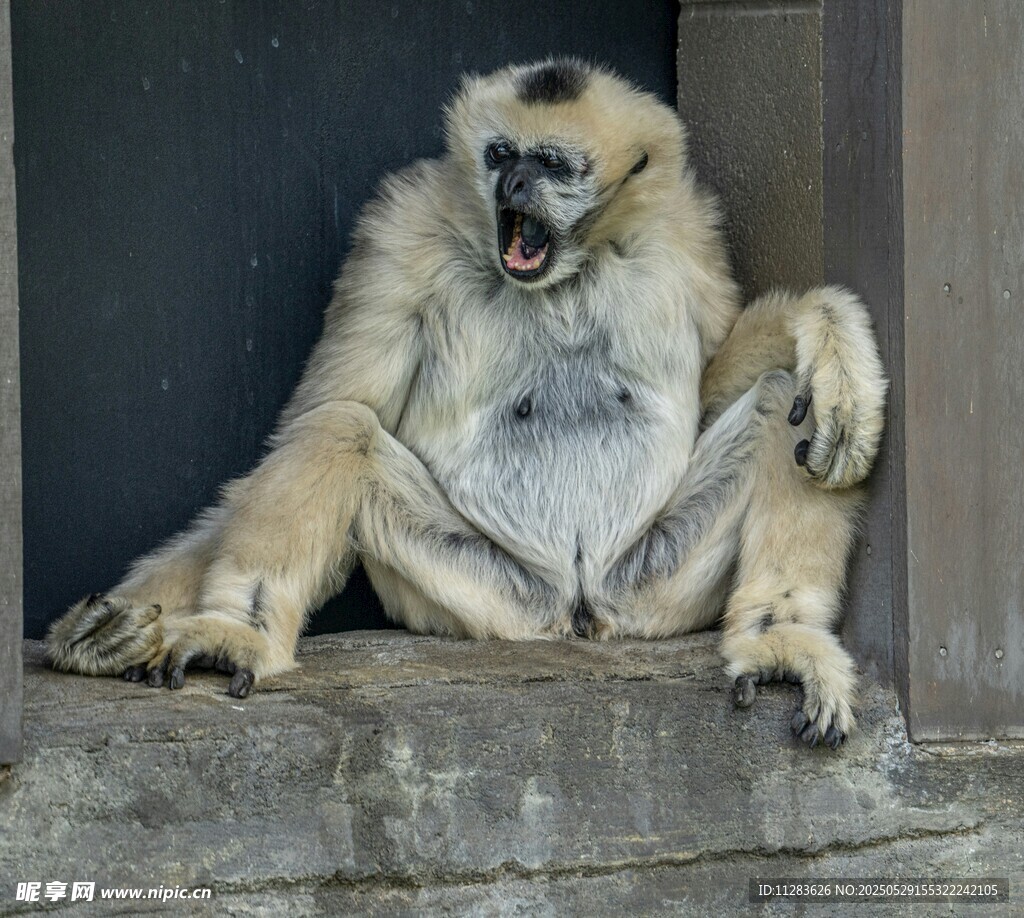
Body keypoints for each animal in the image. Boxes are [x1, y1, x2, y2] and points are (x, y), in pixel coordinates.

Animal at [46, 58, 886, 750]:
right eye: (499, 156)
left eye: (551, 165)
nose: (513, 188)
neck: (565, 275)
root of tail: (577, 613)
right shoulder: (398, 231)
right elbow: (324, 409)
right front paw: (96, 633)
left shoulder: (685, 230)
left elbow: (722, 390)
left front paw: (826, 332)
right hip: (487, 596)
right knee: (341, 427)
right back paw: (234, 633)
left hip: (648, 586)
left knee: (784, 401)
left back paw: (781, 637)